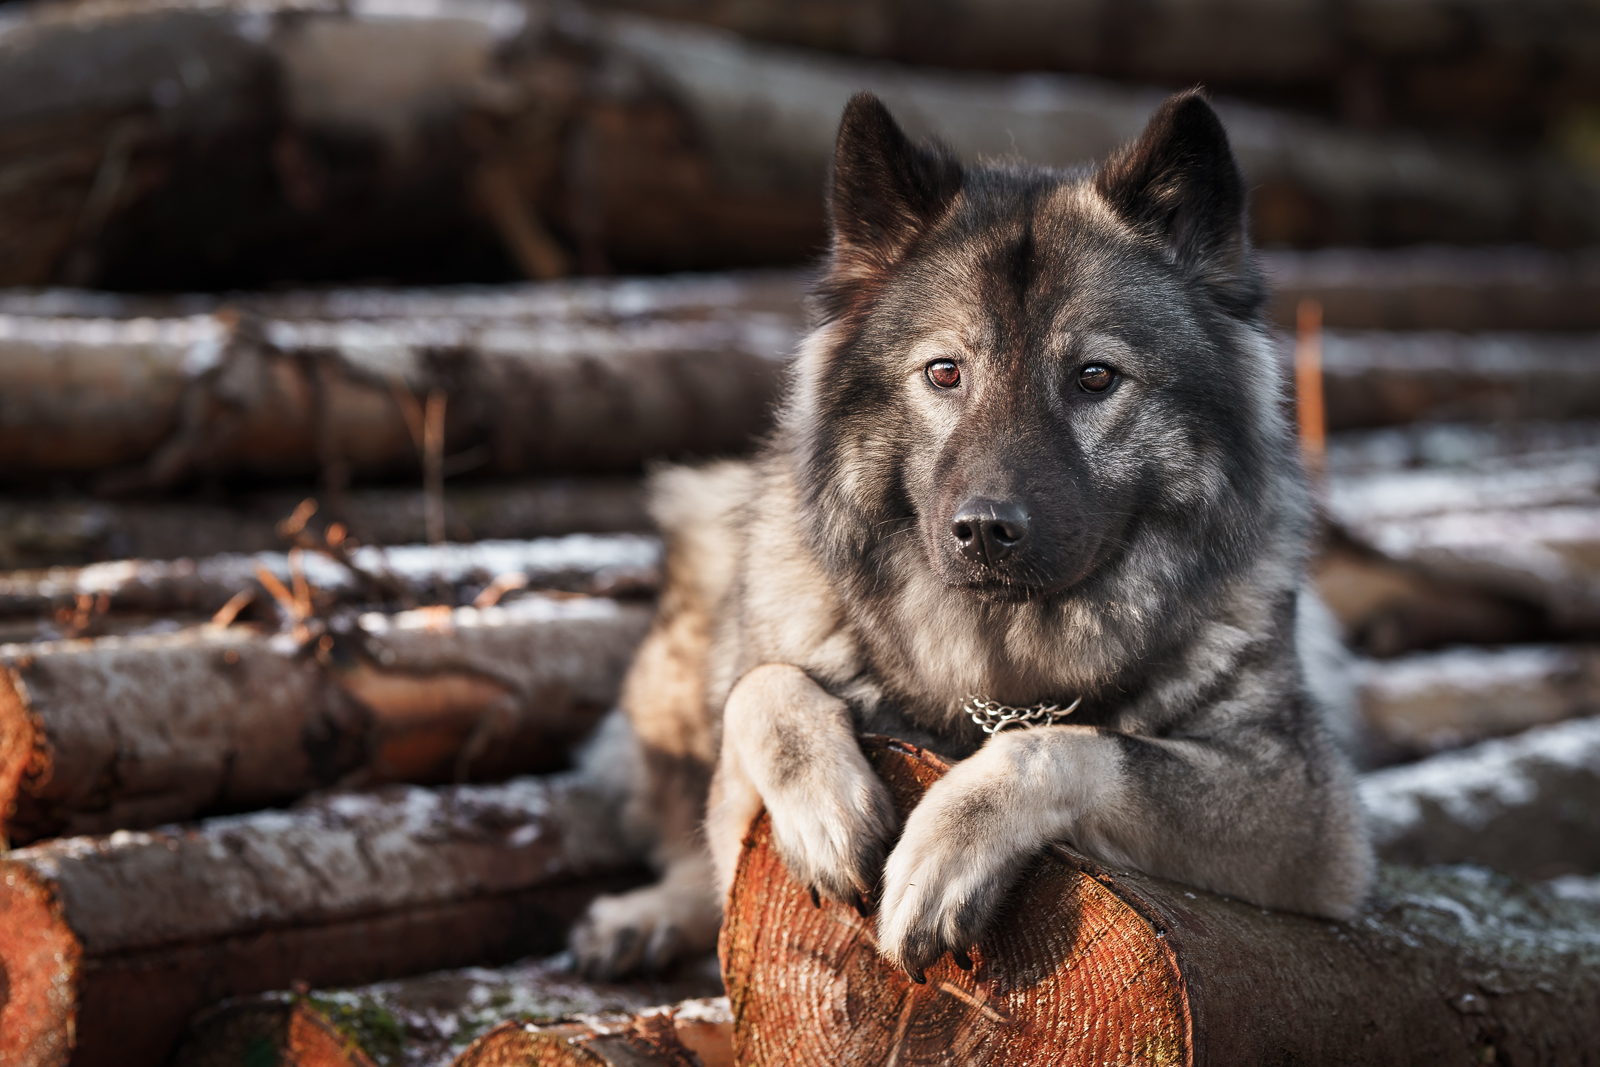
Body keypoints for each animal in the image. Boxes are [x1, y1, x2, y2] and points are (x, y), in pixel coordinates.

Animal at [576, 91, 1376, 985]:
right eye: (944, 371)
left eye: (1095, 376)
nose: (986, 529)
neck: (999, 667)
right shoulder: (739, 805)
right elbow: (763, 690)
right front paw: (827, 810)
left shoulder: (1308, 815)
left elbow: (1065, 745)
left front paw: (943, 852)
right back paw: (642, 915)